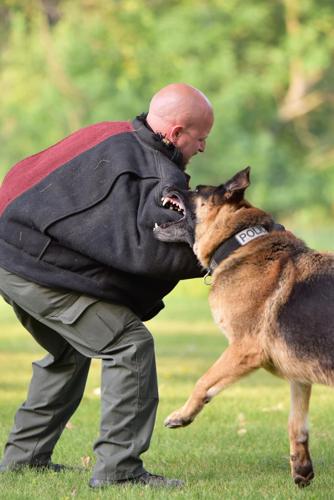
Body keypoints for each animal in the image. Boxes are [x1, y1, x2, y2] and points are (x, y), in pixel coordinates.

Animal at [153, 166, 334, 486]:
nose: (167, 185)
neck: (238, 242)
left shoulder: (244, 349)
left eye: (197, 189)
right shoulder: (298, 375)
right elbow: (296, 424)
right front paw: (301, 468)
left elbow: (202, 382)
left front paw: (182, 415)